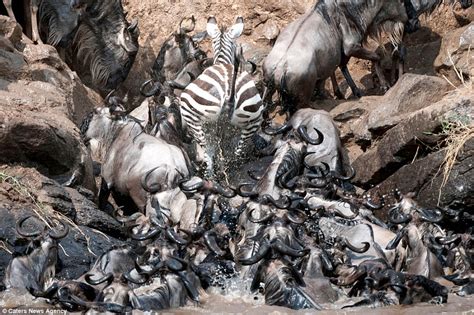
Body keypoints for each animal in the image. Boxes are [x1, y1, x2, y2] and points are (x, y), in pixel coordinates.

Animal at [180, 16, 264, 178]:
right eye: (239, 50)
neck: (222, 61)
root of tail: (228, 92)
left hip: (195, 119)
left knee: (210, 150)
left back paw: (213, 177)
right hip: (252, 120)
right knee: (233, 151)